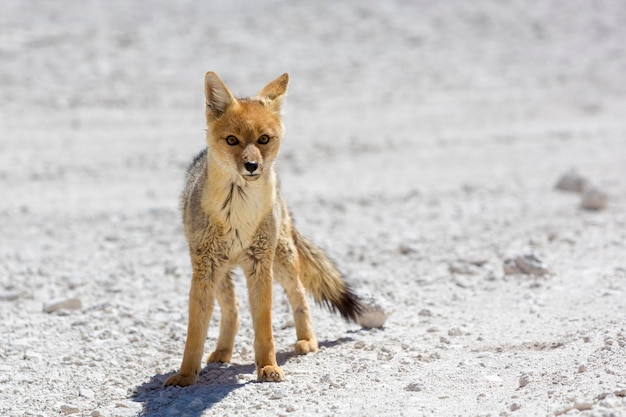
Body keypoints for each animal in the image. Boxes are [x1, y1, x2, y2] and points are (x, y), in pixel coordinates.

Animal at [163, 70, 364, 386]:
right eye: (232, 140)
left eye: (264, 139)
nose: (251, 165)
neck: (237, 213)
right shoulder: (205, 269)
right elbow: (194, 331)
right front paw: (185, 376)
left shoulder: (260, 265)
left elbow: (264, 327)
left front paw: (268, 366)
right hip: (219, 271)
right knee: (233, 309)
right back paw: (223, 351)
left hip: (281, 260)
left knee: (299, 295)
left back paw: (307, 340)